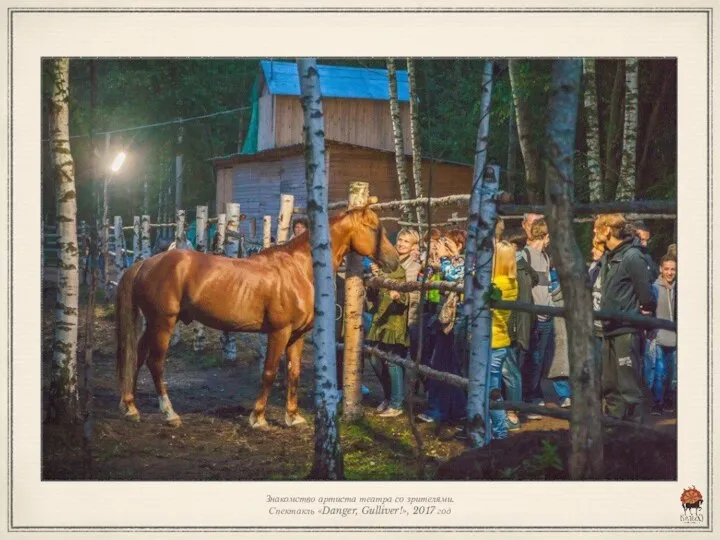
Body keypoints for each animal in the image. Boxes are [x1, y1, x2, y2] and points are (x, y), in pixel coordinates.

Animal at [117, 207, 400, 430]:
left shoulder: (297, 335)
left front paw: (292, 417)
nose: (394, 260)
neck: (299, 269)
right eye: (373, 227)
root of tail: (144, 264)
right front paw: (258, 418)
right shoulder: (279, 331)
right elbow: (270, 371)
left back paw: (130, 407)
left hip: (154, 323)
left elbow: (294, 372)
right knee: (155, 363)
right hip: (163, 323)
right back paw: (170, 413)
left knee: (138, 357)